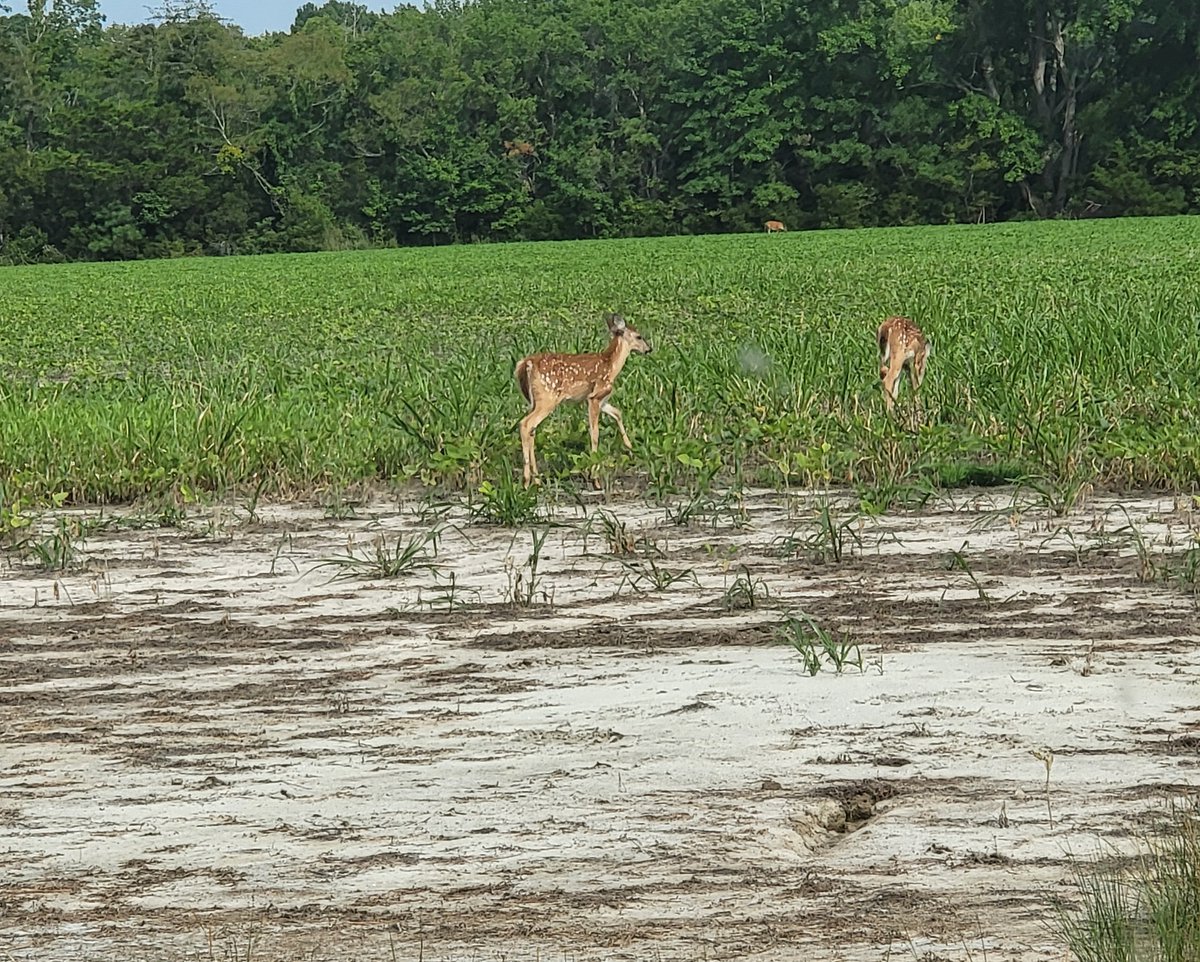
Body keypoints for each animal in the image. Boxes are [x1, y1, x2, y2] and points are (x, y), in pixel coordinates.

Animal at [515, 312, 653, 488]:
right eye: (639, 336)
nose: (649, 349)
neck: (611, 365)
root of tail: (527, 363)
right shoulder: (594, 397)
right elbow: (594, 433)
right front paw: (596, 479)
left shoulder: (602, 400)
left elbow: (618, 413)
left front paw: (630, 447)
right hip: (547, 399)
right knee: (525, 424)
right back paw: (526, 481)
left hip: (533, 401)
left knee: (531, 429)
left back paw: (537, 479)